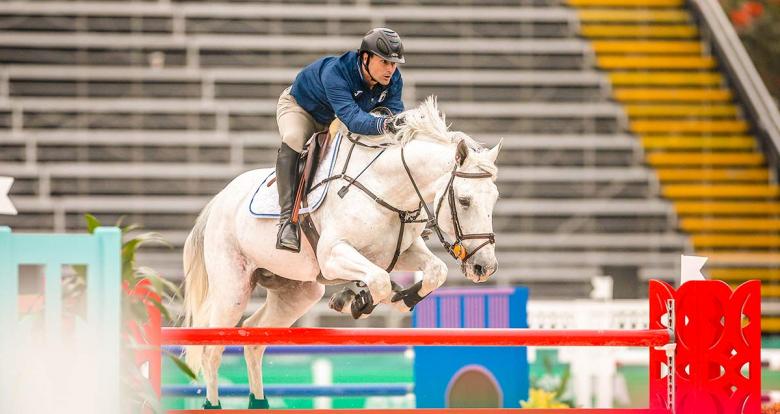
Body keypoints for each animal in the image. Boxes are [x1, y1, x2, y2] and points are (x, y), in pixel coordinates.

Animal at [181, 96, 500, 408]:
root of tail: (220, 199)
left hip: (297, 293)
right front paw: (355, 301)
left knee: (254, 338)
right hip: (232, 290)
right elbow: (379, 281)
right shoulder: (333, 255)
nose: (485, 267)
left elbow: (435, 272)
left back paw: (259, 402)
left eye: (495, 198)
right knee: (212, 350)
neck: (386, 189)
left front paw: (397, 299)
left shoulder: (401, 252)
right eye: (464, 200)